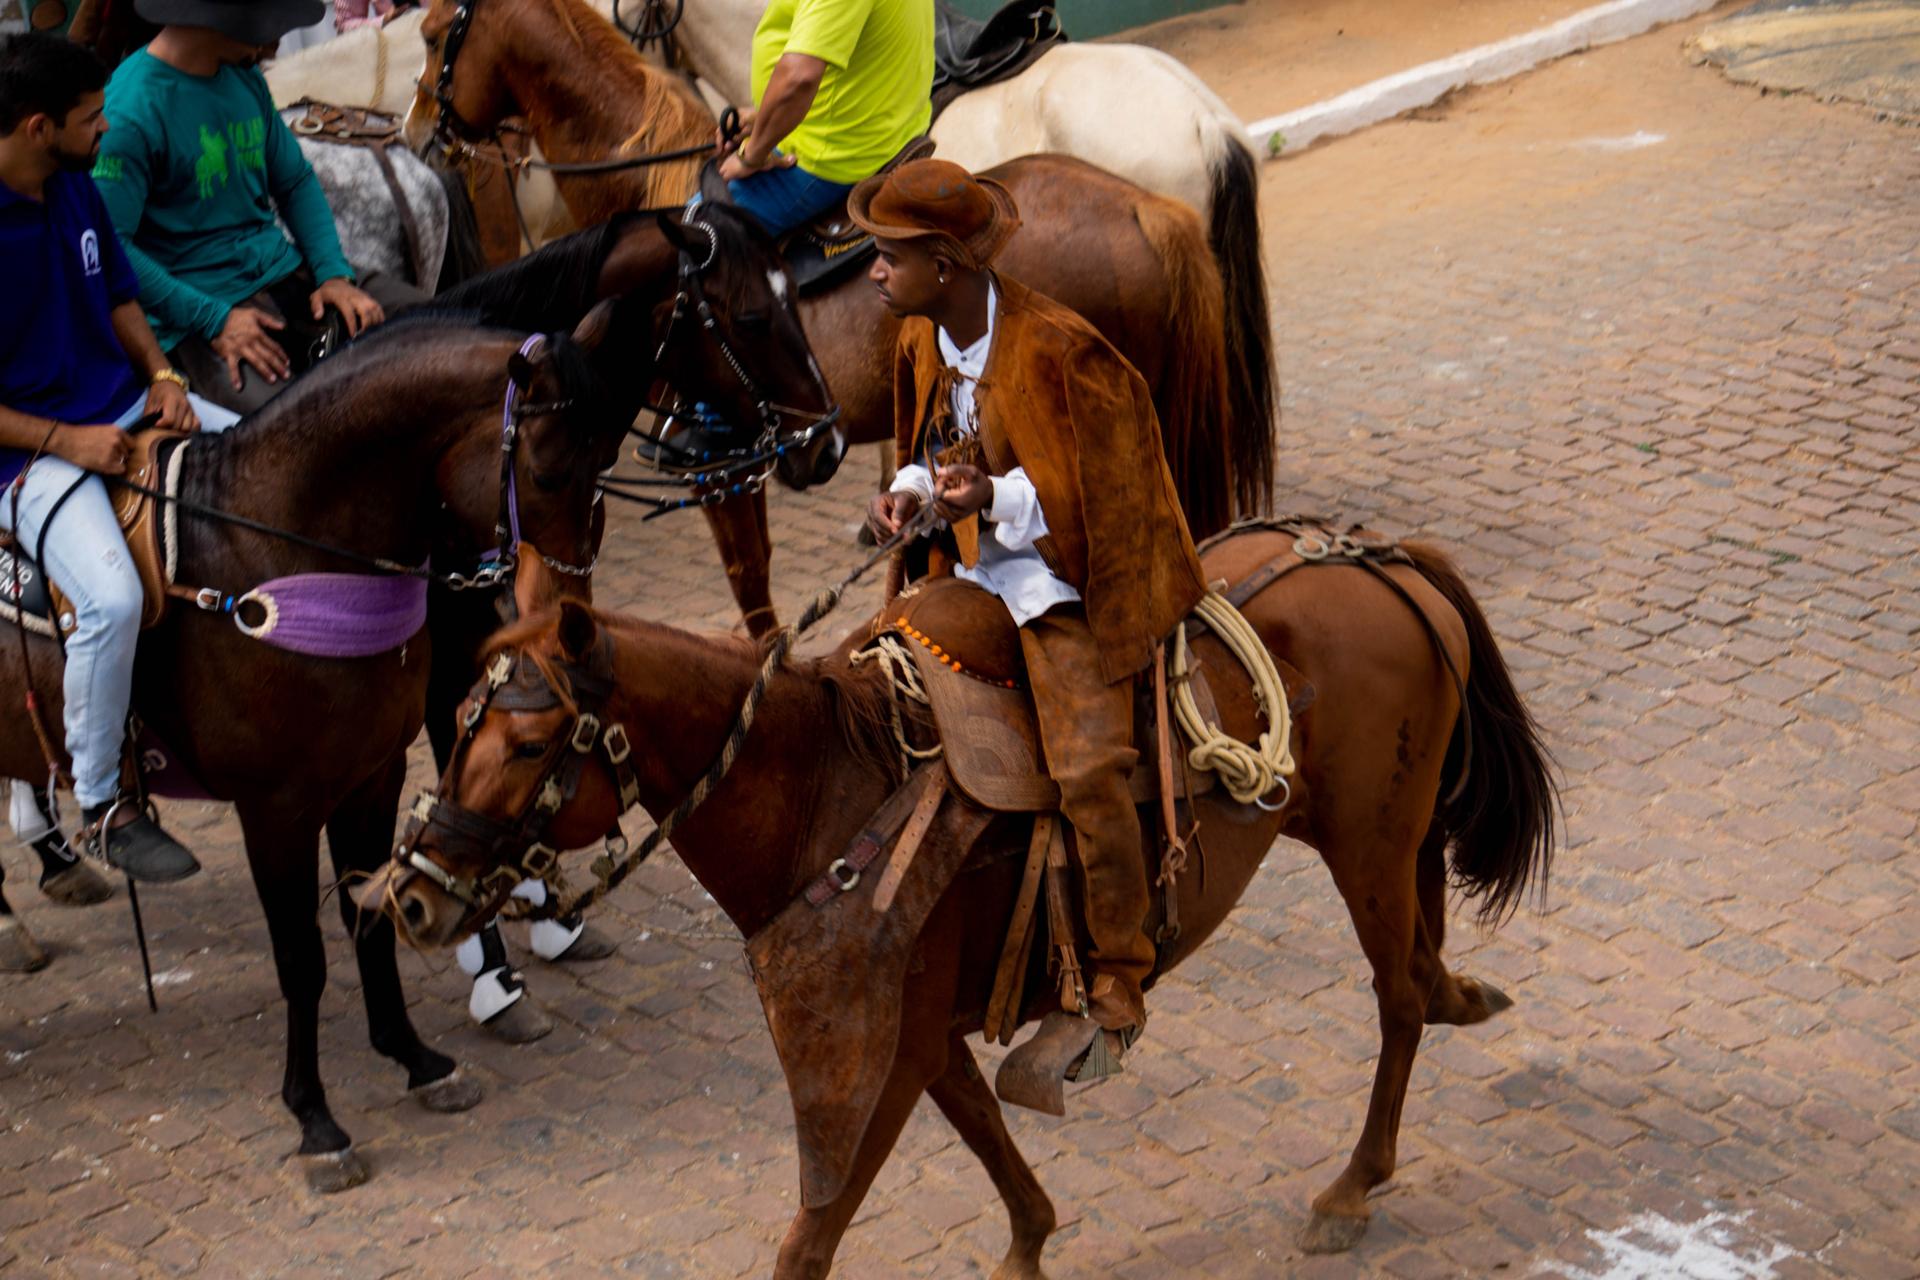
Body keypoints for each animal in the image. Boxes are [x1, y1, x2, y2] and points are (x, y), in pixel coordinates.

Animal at [0, 205, 833, 1189]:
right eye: (751, 318)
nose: (825, 443)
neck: (274, 543)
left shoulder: (385, 751)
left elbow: (393, 883)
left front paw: (477, 981)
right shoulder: (296, 789)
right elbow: (318, 941)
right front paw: (457, 1002)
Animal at [366, 525, 1557, 1274]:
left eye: (527, 742)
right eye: (455, 722)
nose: (413, 898)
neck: (824, 791)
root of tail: (1376, 560)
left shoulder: (885, 1052)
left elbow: (815, 1230)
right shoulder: (924, 1032)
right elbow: (987, 1139)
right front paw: (1029, 1243)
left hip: (1366, 844)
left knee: (1395, 995)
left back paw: (1353, 1186)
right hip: (1382, 830)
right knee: (1422, 953)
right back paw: (1459, 1001)